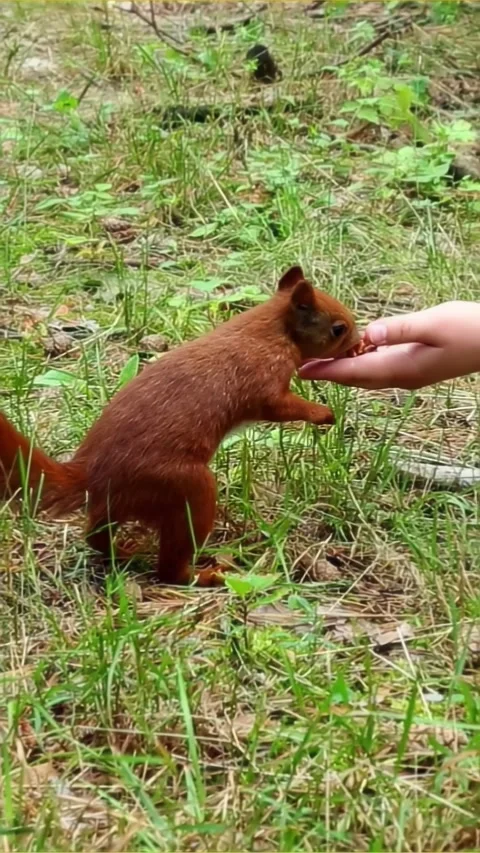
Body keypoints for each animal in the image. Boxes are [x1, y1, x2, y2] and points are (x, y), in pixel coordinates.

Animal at [0, 266, 359, 586]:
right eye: (338, 328)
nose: (358, 342)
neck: (265, 329)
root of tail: (92, 475)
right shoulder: (263, 377)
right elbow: (279, 406)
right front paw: (323, 413)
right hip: (184, 489)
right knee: (170, 566)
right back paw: (202, 575)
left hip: (124, 503)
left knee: (96, 535)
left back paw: (123, 553)